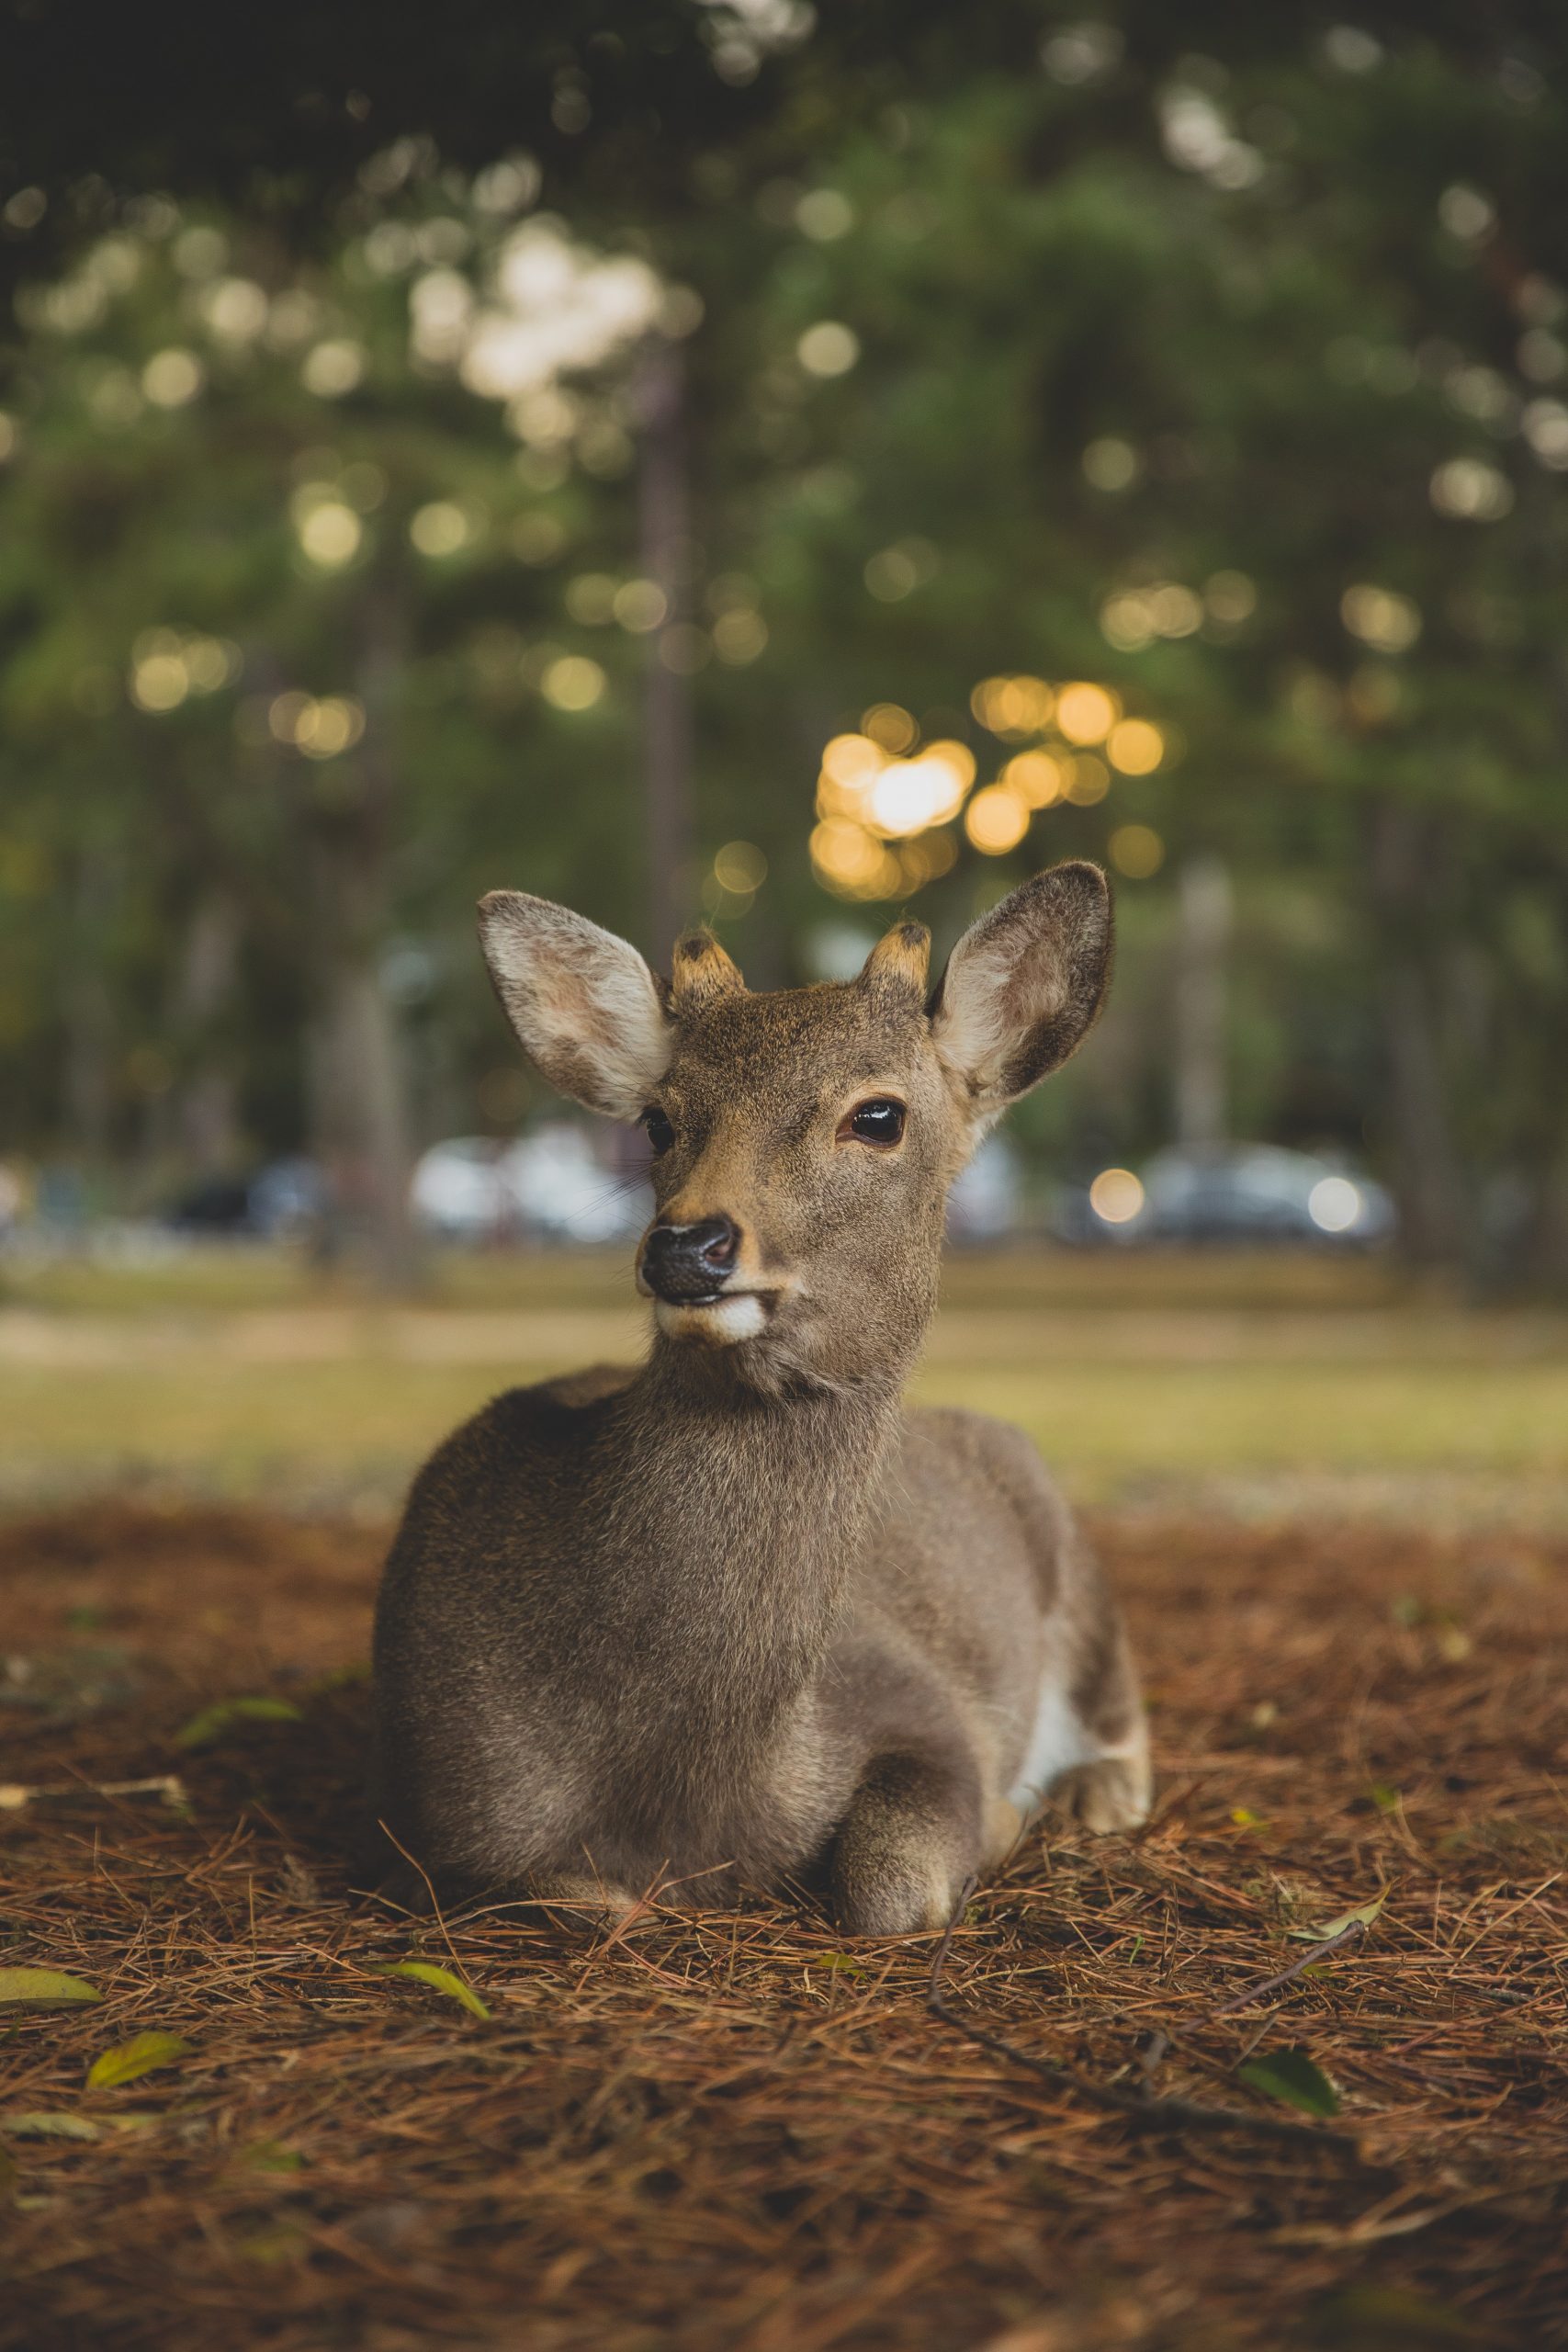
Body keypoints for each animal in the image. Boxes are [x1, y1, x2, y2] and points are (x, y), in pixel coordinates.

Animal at [373, 865, 1146, 1928]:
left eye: (878, 1115)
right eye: (659, 1118)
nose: (687, 1246)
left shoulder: (922, 1700)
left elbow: (893, 1885)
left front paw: (997, 1820)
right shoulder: (435, 1811)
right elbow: (587, 1900)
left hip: (1077, 1565)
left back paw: (1089, 1793)